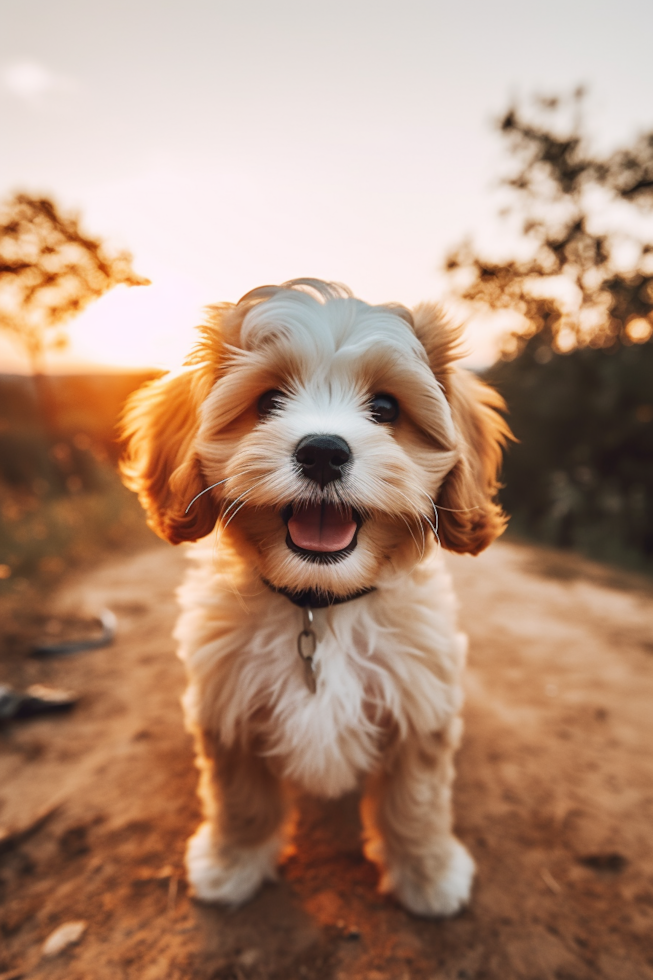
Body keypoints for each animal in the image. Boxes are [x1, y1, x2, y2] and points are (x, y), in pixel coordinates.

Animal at [122, 278, 510, 920]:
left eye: (386, 409)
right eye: (269, 401)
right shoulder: (228, 709)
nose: (324, 451)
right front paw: (232, 865)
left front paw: (427, 875)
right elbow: (241, 800)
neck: (321, 606)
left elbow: (415, 801)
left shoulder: (420, 708)